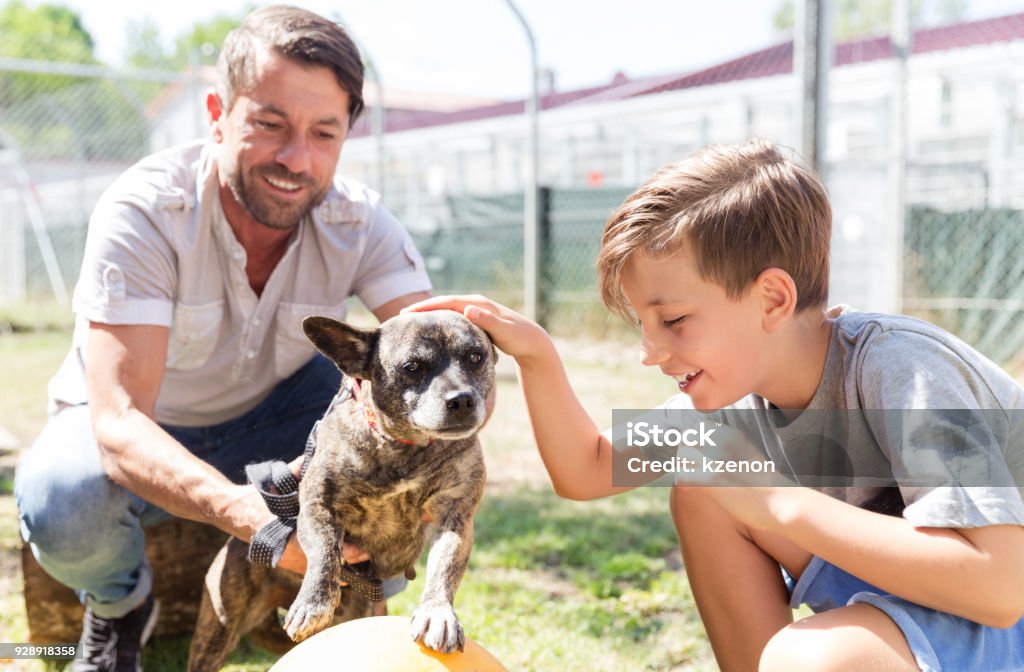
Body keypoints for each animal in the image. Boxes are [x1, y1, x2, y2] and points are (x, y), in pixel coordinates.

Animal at [190, 311, 497, 672]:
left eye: (476, 357)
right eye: (412, 367)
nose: (462, 399)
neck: (404, 447)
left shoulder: (454, 519)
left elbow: (444, 569)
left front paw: (437, 614)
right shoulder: (318, 507)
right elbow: (326, 552)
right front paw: (314, 602)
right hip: (219, 625)